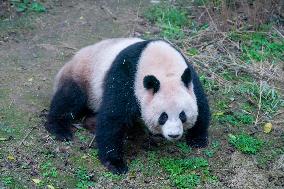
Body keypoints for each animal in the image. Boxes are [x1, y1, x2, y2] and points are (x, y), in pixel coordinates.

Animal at [45, 38, 211, 174]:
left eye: (182, 115)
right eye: (163, 116)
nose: (174, 135)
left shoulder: (189, 78)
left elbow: (201, 104)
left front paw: (198, 139)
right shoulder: (126, 76)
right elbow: (113, 117)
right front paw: (115, 163)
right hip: (82, 76)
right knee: (69, 99)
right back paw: (60, 130)